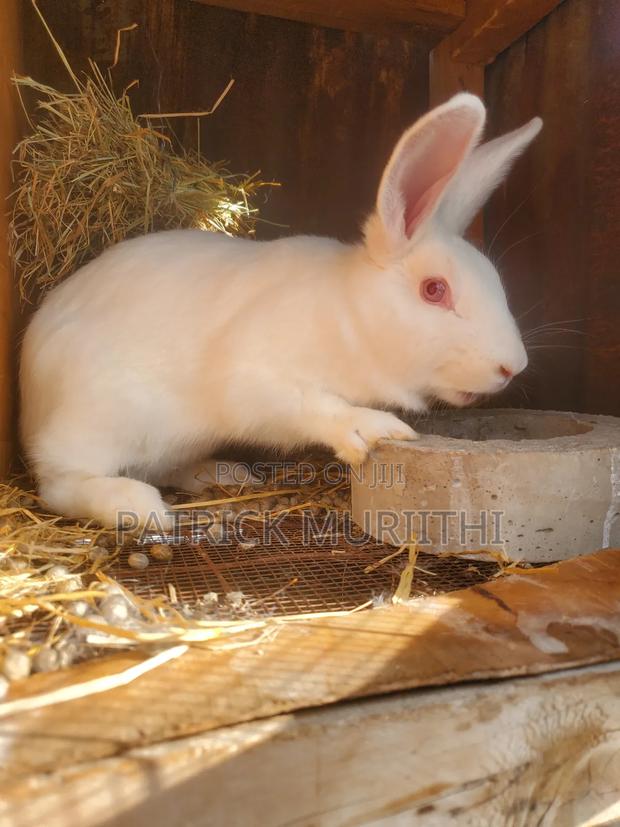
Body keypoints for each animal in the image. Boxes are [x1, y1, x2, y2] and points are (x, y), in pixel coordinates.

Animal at [20, 93, 542, 529]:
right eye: (434, 290)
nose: (512, 366)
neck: (350, 315)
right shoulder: (258, 377)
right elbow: (315, 406)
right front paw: (370, 429)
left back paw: (223, 474)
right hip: (100, 419)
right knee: (61, 483)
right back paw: (139, 507)